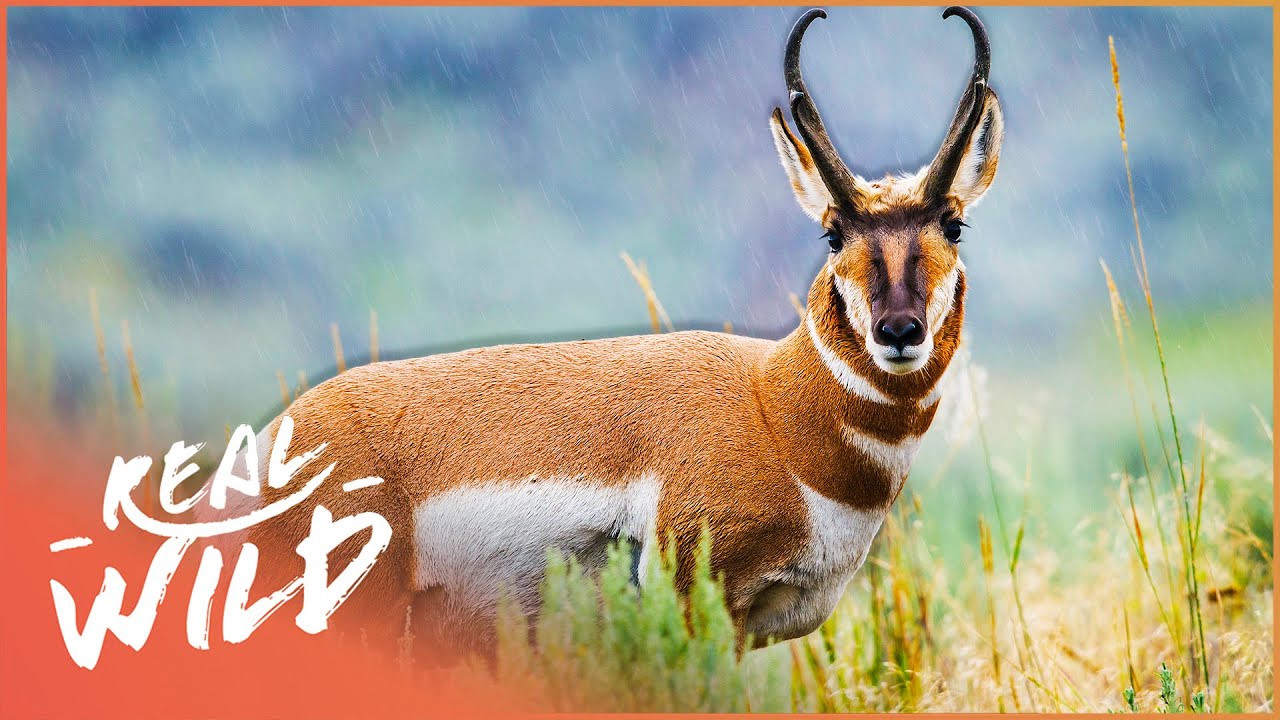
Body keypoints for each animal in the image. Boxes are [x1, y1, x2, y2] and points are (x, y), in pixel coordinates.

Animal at [223, 5, 1004, 658]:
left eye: (953, 223)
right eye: (833, 231)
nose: (898, 331)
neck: (772, 406)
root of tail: (271, 444)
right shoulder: (694, 605)